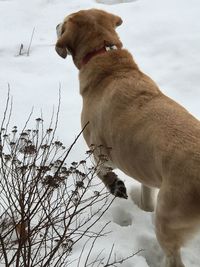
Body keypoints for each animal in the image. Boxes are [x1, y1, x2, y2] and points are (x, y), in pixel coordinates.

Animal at [55, 8, 200, 267]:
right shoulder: (146, 172)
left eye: (63, 23)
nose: (55, 25)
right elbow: (146, 197)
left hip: (168, 220)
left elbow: (102, 171)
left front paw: (115, 185)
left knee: (173, 257)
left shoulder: (99, 150)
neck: (106, 55)